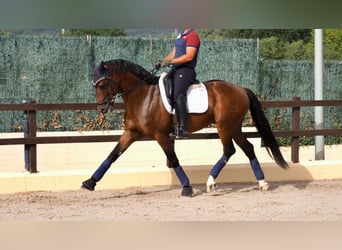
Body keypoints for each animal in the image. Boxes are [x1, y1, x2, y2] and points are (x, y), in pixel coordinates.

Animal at [81, 59, 288, 196]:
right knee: (248, 148)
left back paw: (210, 182)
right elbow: (112, 155)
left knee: (229, 150)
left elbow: (173, 160)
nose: (102, 108)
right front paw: (90, 182)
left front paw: (187, 187)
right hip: (234, 126)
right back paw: (262, 183)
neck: (142, 96)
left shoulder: (161, 135)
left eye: (103, 84)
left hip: (224, 126)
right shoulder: (131, 133)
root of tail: (241, 89)